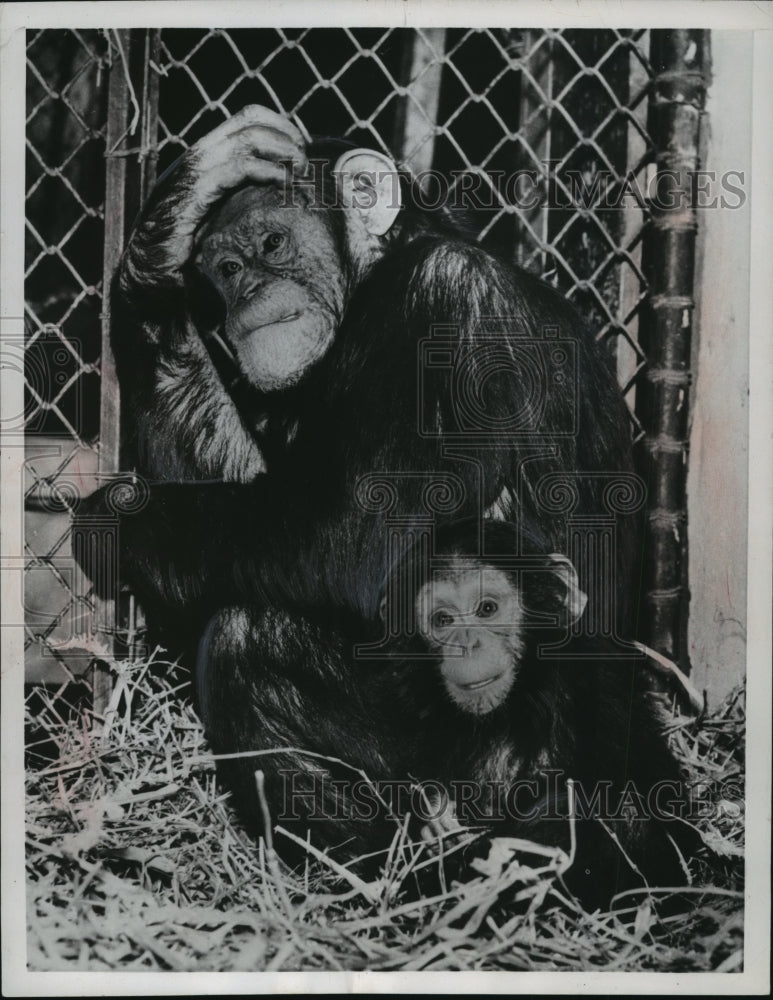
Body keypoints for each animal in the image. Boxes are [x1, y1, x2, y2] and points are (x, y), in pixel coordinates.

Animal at [75, 99, 640, 868]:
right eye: (224, 265)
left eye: (272, 241)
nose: (247, 291)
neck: (375, 280)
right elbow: (246, 492)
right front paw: (164, 230)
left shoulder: (449, 308)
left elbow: (344, 536)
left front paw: (114, 517)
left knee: (247, 636)